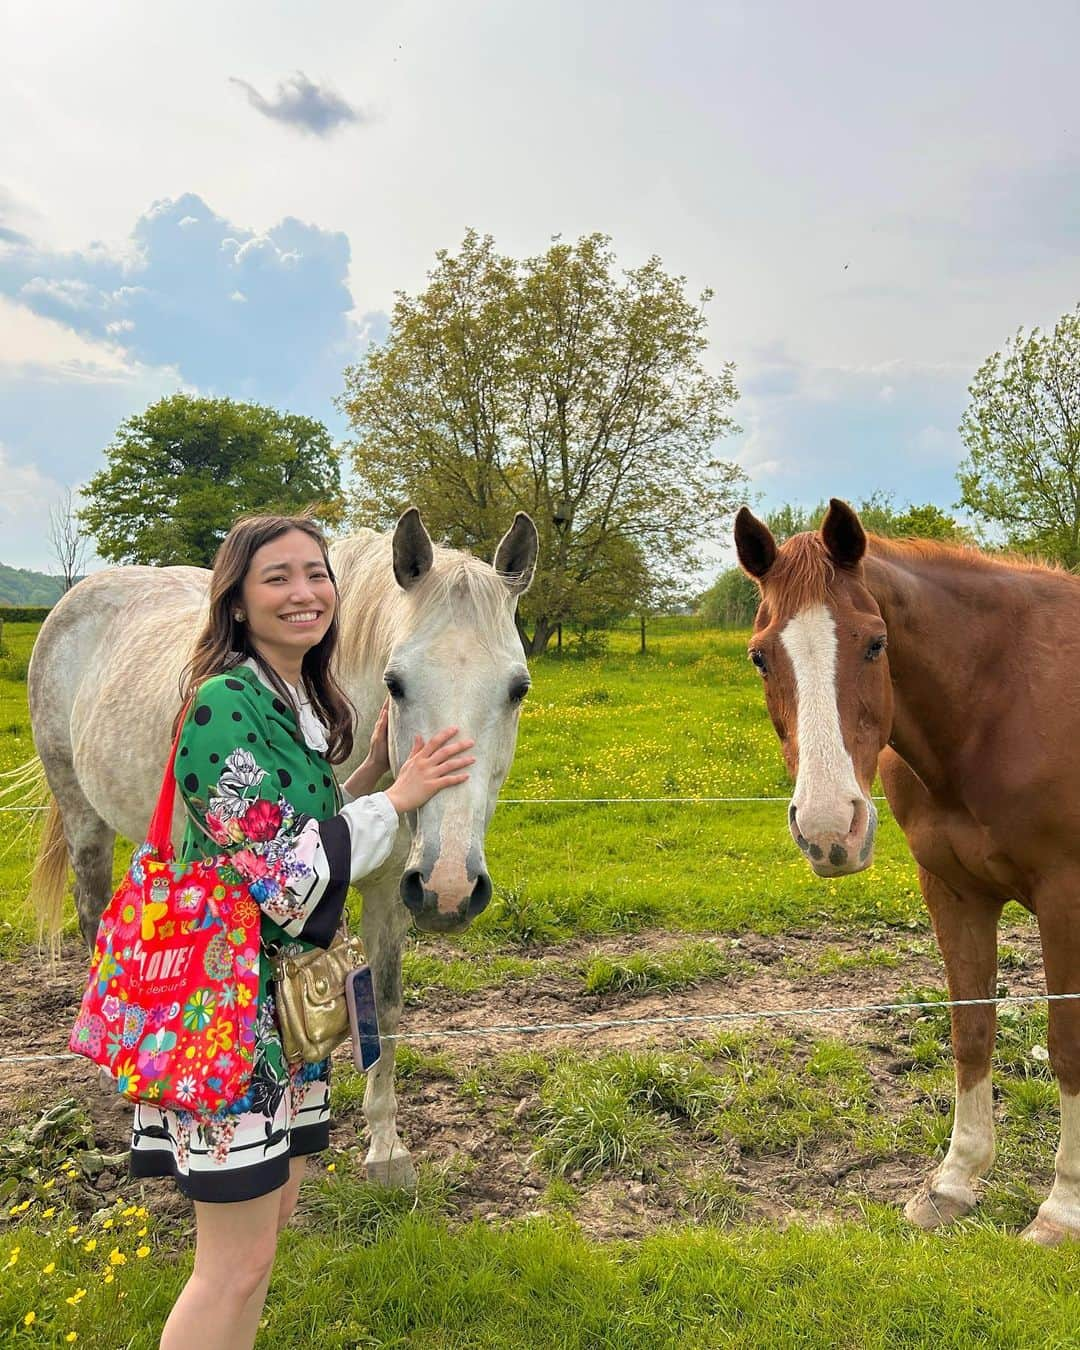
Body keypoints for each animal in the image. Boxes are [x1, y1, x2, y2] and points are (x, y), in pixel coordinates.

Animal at [31, 507, 537, 1182]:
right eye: (396, 683)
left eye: (518, 688)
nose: (451, 888)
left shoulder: (393, 891)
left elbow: (385, 1012)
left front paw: (385, 1150)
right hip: (82, 814)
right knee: (92, 922)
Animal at [734, 499, 1080, 1242]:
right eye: (760, 656)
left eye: (875, 644)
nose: (829, 830)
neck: (999, 703)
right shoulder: (953, 892)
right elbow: (971, 1031)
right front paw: (953, 1183)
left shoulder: (1067, 899)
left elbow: (1067, 1042)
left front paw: (1063, 1208)